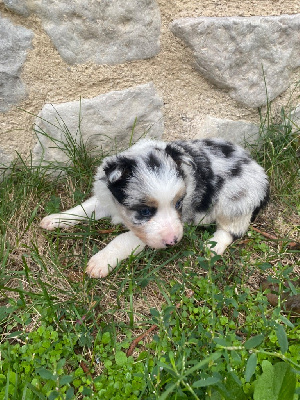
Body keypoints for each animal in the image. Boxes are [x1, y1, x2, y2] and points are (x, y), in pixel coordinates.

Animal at [40, 138, 270, 278]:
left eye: (178, 204)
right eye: (145, 211)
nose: (174, 241)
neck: (120, 211)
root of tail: (262, 173)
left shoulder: (151, 232)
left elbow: (123, 238)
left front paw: (100, 262)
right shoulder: (106, 199)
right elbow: (83, 208)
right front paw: (55, 219)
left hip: (235, 201)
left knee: (232, 230)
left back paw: (212, 245)